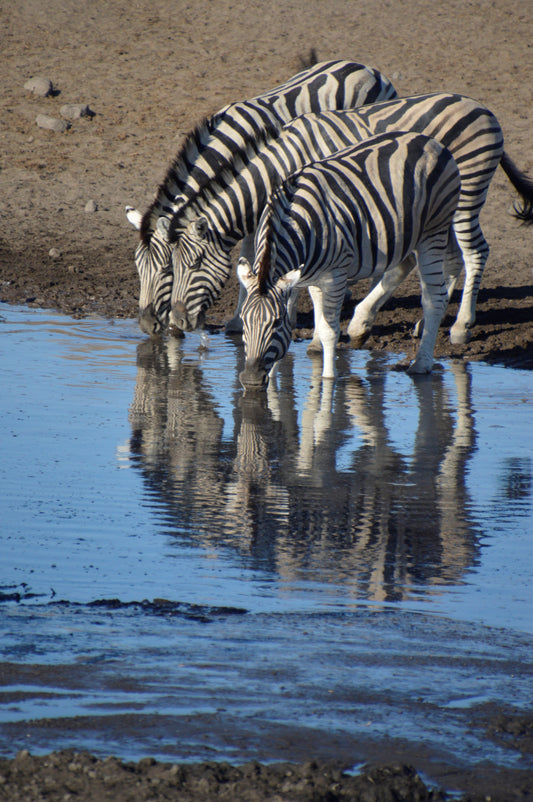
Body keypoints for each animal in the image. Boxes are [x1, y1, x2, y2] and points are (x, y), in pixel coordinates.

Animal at [167, 92, 533, 345]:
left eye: (195, 263)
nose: (177, 324)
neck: (280, 164)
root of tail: (482, 108)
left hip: (467, 194)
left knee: (475, 252)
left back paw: (460, 326)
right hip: (436, 211)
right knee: (453, 259)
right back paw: (426, 323)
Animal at [236, 131, 462, 388]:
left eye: (275, 323)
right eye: (243, 321)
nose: (251, 380)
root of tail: (428, 140)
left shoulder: (334, 276)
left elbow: (329, 330)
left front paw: (328, 379)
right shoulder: (310, 277)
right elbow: (311, 325)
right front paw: (273, 380)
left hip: (433, 231)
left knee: (434, 298)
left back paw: (421, 364)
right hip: (403, 234)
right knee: (403, 267)